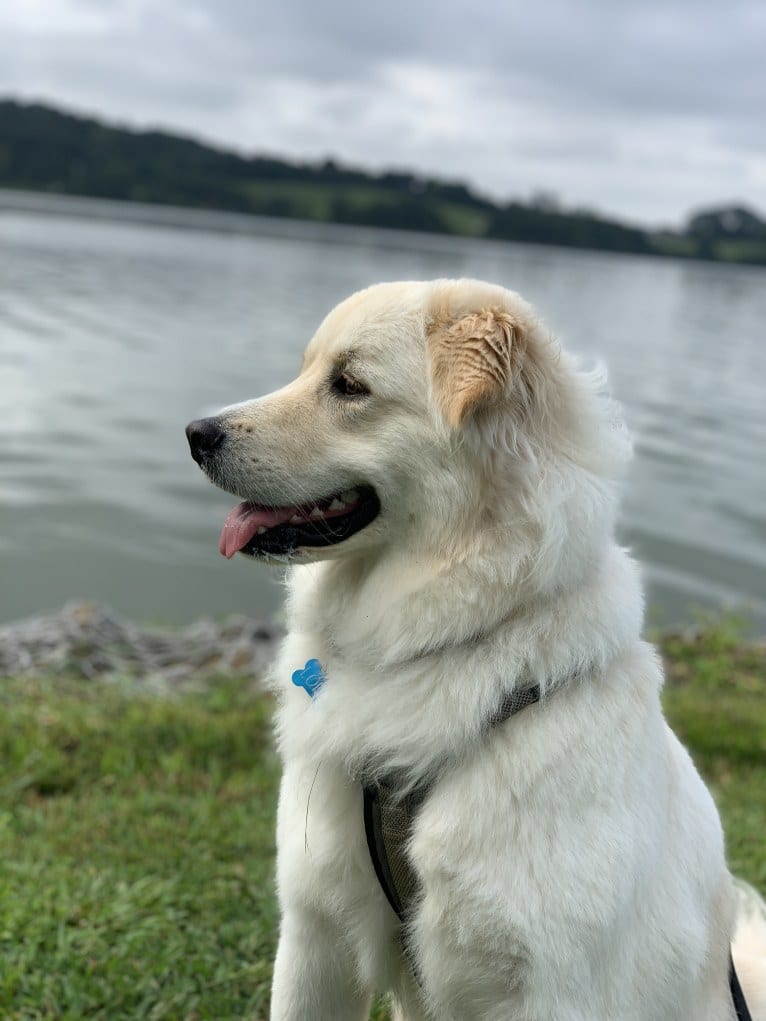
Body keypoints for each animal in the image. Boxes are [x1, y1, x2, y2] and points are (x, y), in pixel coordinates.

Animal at [187, 279, 766, 1021]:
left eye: (349, 385)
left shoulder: (554, 989)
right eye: (307, 370)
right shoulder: (315, 938)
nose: (196, 434)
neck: (452, 638)